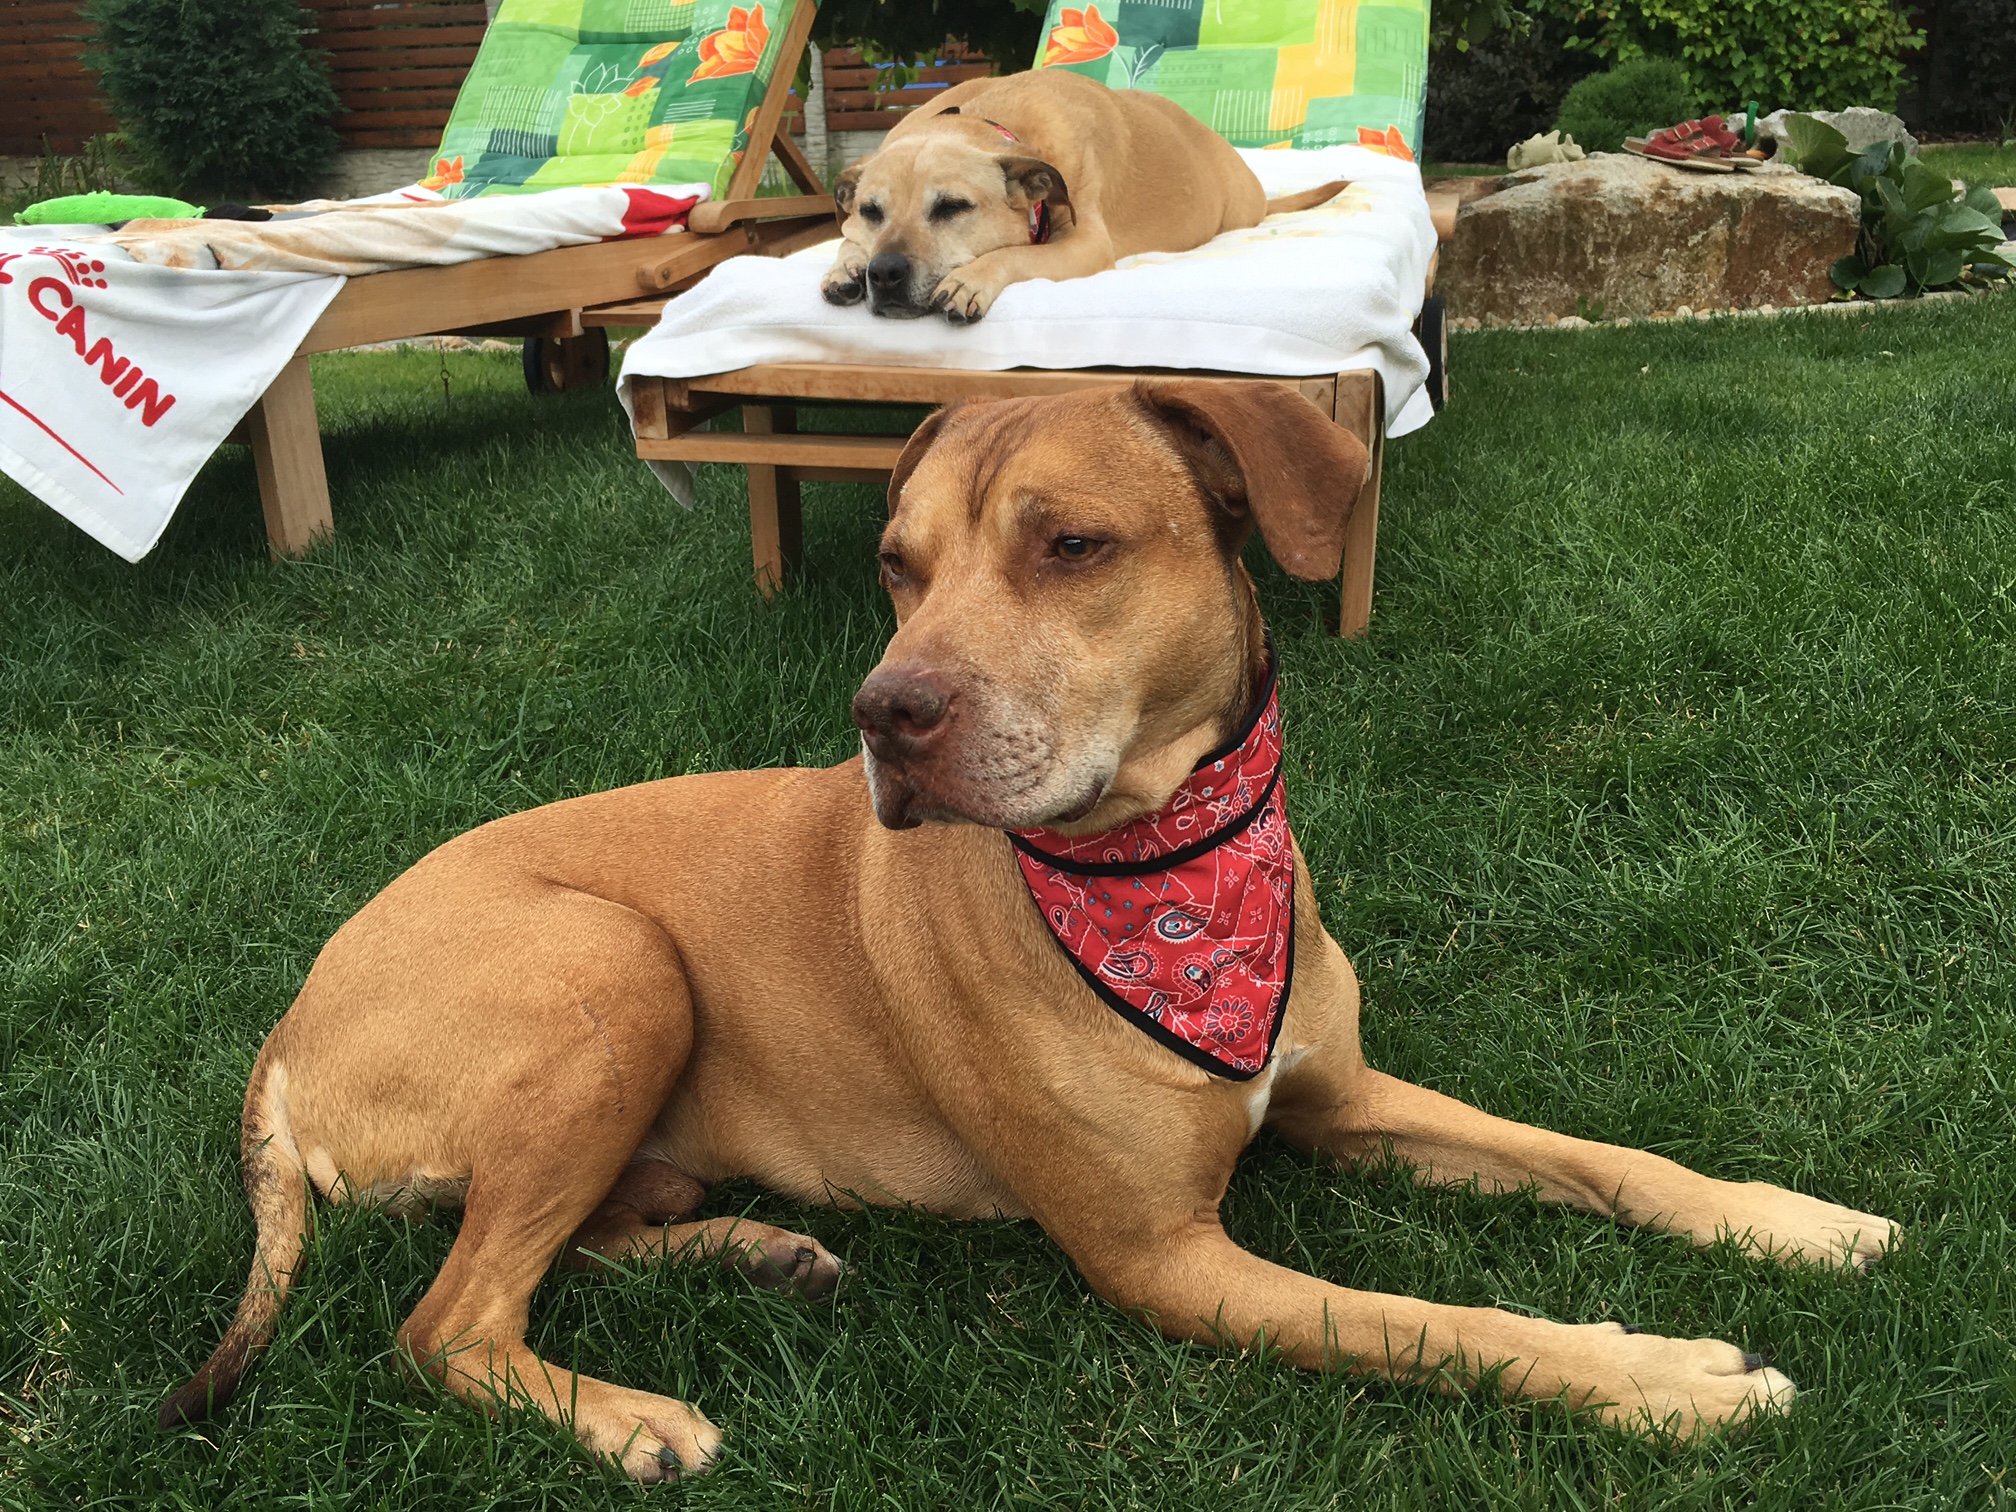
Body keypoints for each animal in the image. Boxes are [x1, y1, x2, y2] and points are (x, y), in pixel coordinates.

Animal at [163, 381, 1896, 1481]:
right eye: (895, 565)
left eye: (1073, 544)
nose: (886, 713)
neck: (1169, 874)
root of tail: (283, 1030)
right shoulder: (1169, 1263)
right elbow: (1445, 1328)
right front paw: (1659, 1377)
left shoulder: (1342, 1100)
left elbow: (1605, 1160)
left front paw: (1788, 1223)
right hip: (610, 970)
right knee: (446, 1322)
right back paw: (629, 1416)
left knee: (552, 1242)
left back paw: (750, 1248)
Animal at [821, 69, 1347, 322]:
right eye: (871, 211)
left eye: (952, 207)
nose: (884, 273)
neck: (990, 120)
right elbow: (845, 237)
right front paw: (845, 266)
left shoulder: (1087, 244)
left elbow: (1016, 254)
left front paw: (971, 279)